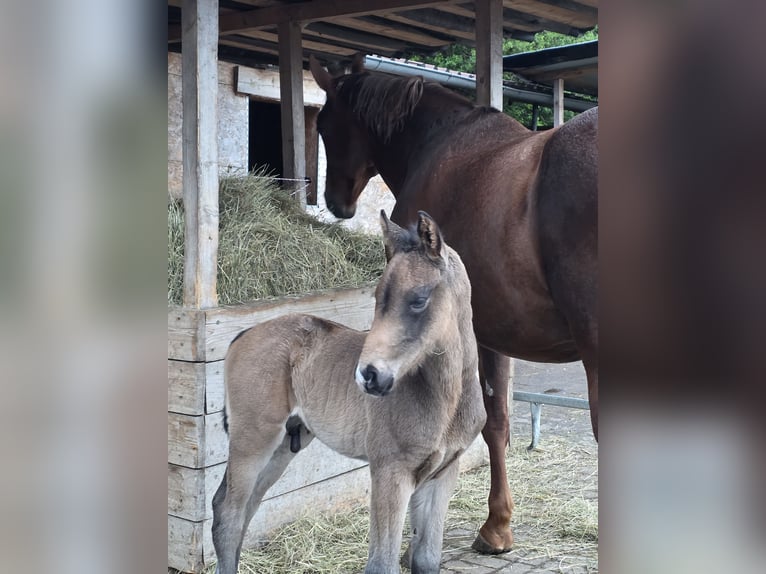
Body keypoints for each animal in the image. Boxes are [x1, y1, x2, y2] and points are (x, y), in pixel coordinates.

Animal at [212, 210, 487, 574]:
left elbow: (427, 559)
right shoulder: (390, 472)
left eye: (418, 300)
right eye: (377, 297)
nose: (369, 375)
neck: (447, 401)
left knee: (243, 507)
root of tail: (244, 334)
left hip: (284, 444)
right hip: (253, 439)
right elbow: (382, 564)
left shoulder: (442, 474)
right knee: (229, 513)